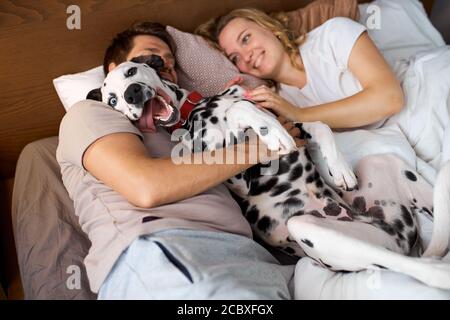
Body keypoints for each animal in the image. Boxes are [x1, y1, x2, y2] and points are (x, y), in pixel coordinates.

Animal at [87, 55, 450, 290]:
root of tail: (397, 237)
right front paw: (267, 130)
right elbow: (240, 110)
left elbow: (318, 124)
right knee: (404, 264)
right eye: (112, 99)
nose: (131, 94)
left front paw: (339, 169)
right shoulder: (238, 179)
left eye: (132, 70)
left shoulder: (292, 120)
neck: (193, 109)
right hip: (312, 229)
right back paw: (436, 274)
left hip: (387, 166)